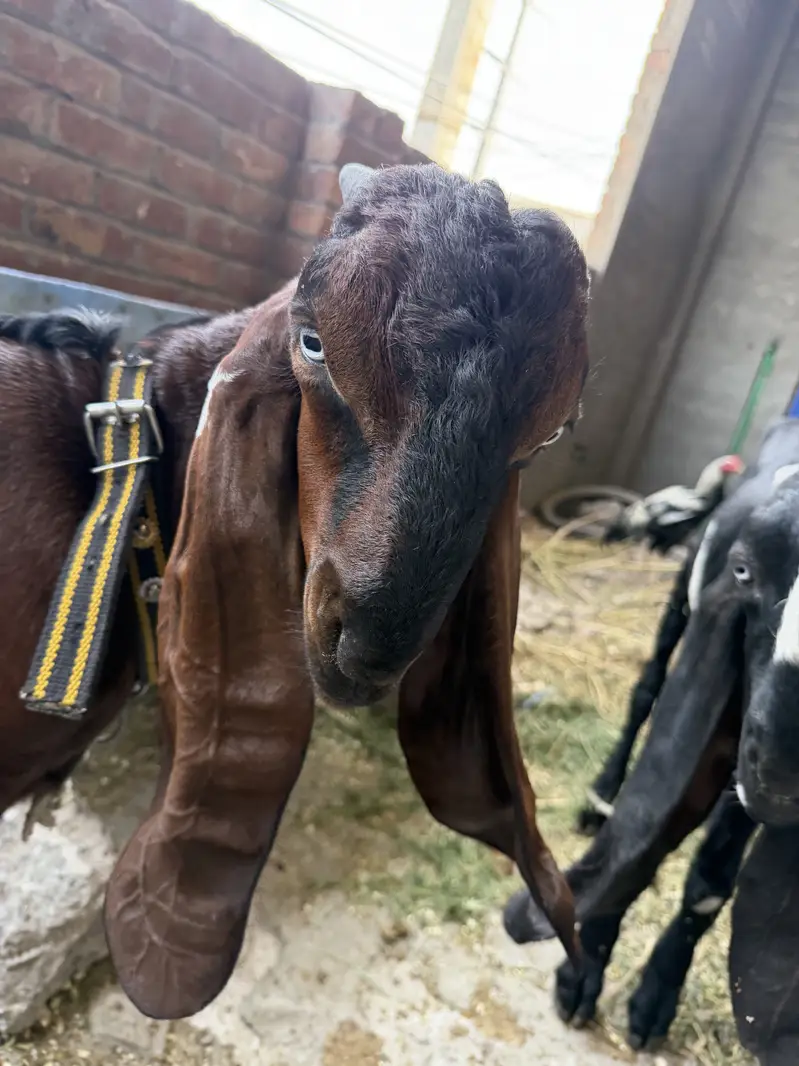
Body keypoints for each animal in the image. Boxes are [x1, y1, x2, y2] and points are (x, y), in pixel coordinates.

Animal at [503, 418, 799, 1059]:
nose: (783, 761)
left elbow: (709, 879)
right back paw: (601, 796)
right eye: (745, 571)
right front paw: (584, 973)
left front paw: (656, 992)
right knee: (647, 691)